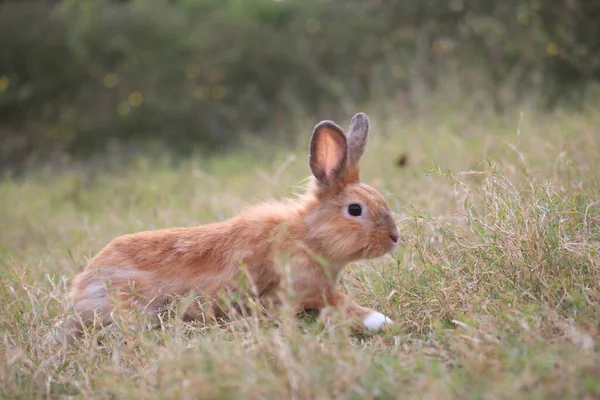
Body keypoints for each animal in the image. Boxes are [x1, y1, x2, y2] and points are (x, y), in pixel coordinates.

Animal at [58, 111, 398, 342]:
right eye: (355, 210)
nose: (395, 238)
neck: (309, 236)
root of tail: (82, 288)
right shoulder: (297, 288)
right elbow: (342, 304)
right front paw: (381, 321)